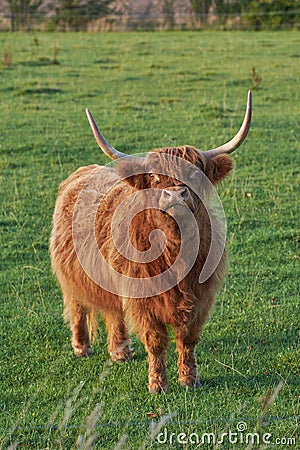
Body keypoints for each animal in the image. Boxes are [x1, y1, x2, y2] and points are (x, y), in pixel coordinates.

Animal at [50, 92, 252, 394]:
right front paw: (158, 385)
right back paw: (81, 347)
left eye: (195, 174)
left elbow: (187, 339)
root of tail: (85, 170)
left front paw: (189, 379)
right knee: (77, 306)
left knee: (114, 312)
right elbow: (155, 341)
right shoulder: (143, 299)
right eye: (155, 177)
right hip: (72, 275)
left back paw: (120, 352)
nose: (176, 195)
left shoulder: (200, 297)